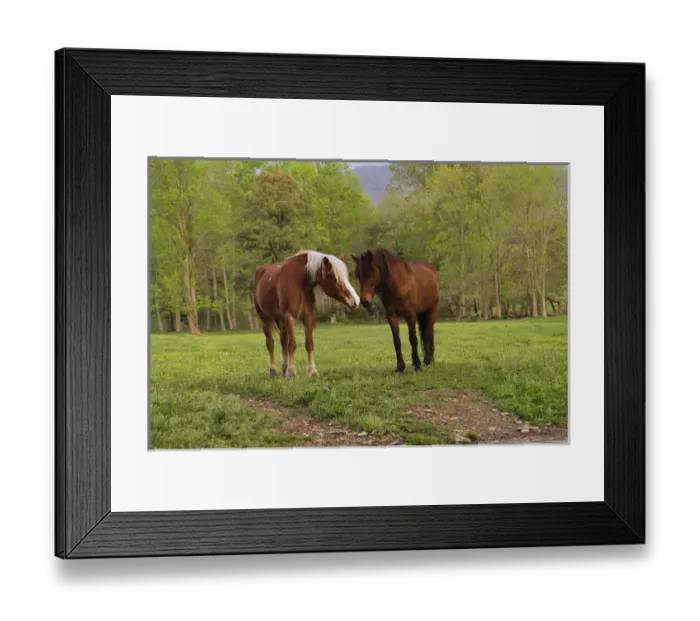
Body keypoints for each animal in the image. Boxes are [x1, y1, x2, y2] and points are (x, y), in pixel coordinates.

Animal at [253, 250, 360, 378]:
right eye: (333, 277)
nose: (355, 301)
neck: (299, 283)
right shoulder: (290, 317)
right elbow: (292, 345)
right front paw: (292, 372)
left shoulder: (308, 317)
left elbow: (309, 344)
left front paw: (312, 371)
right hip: (265, 318)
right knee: (270, 343)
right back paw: (273, 370)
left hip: (280, 320)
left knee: (283, 341)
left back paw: (284, 368)